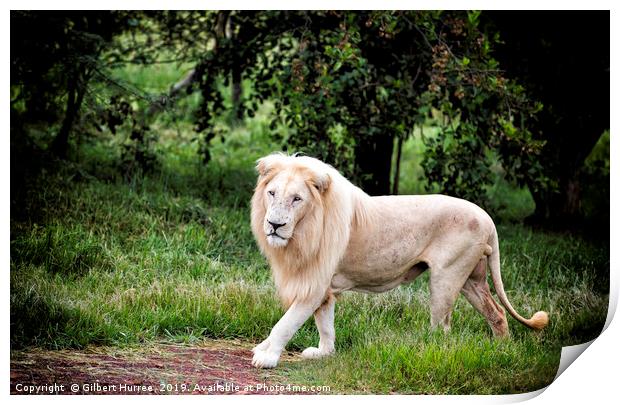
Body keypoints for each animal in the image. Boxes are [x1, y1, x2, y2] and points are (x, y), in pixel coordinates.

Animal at [247, 153, 548, 368]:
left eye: (297, 199)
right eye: (272, 193)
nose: (275, 225)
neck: (302, 233)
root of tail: (488, 219)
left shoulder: (314, 284)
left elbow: (286, 323)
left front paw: (267, 356)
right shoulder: (322, 286)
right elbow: (326, 324)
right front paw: (324, 353)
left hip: (446, 278)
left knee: (443, 330)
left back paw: (430, 354)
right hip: (471, 280)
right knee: (497, 314)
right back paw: (502, 350)